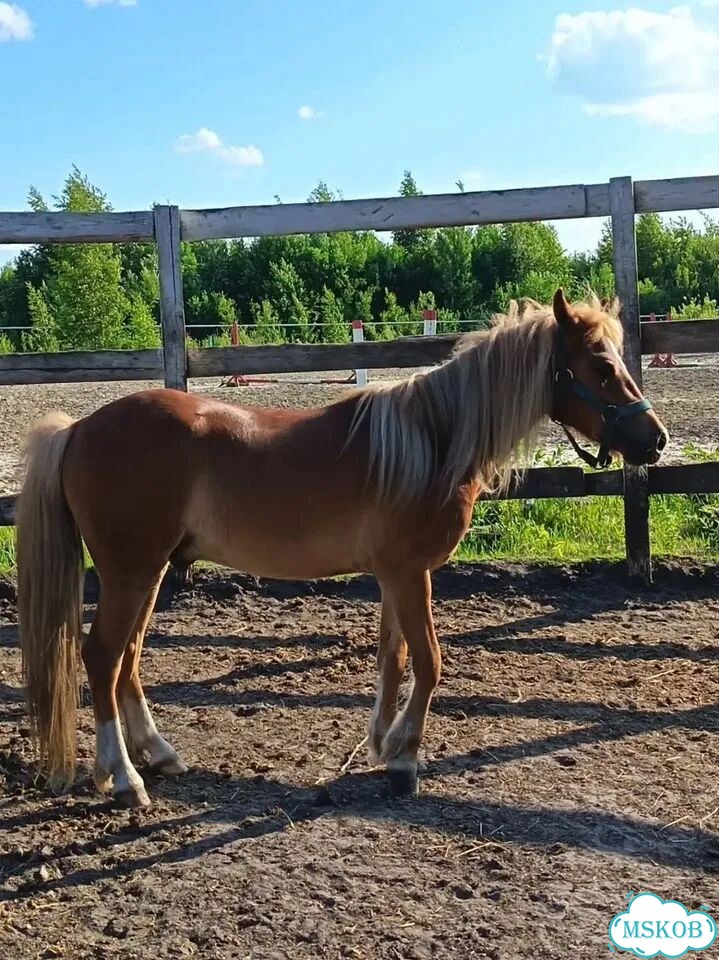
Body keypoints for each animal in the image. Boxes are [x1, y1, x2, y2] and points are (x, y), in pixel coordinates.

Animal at [16, 289, 668, 807]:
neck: (432, 441)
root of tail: (77, 429)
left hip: (147, 573)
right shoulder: (408, 573)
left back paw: (157, 754)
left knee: (126, 660)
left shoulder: (397, 576)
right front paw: (405, 761)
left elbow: (393, 657)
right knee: (102, 657)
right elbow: (429, 661)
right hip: (131, 572)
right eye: (600, 365)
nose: (655, 440)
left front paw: (382, 742)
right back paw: (125, 778)